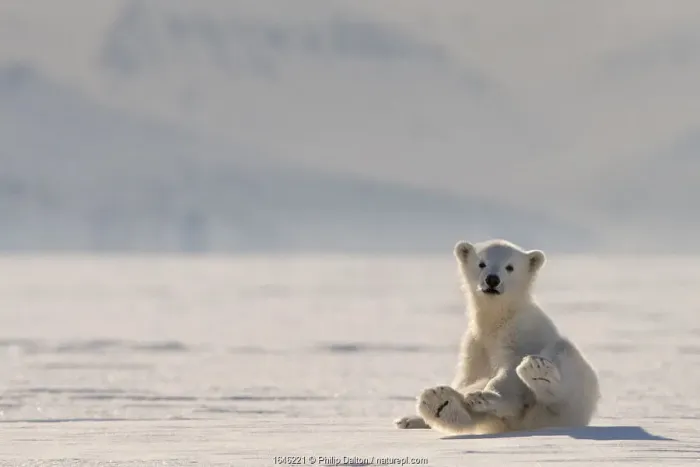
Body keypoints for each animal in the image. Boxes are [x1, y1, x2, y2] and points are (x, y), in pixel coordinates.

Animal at [394, 238, 600, 435]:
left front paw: (486, 396)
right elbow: (468, 378)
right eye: (481, 263)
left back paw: (537, 372)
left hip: (573, 401)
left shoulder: (519, 335)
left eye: (510, 267)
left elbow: (509, 372)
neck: (498, 322)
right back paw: (437, 404)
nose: (492, 279)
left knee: (562, 364)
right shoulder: (475, 344)